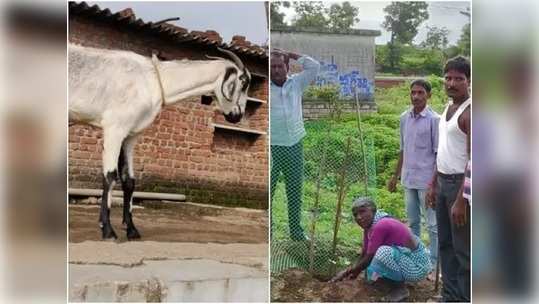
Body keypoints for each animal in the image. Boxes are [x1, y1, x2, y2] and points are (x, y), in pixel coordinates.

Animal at [68, 44, 252, 240]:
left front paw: (132, 229)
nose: (237, 115)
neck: (156, 79)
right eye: (244, 83)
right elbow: (110, 177)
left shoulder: (131, 135)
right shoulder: (114, 128)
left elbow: (129, 181)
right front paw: (108, 230)